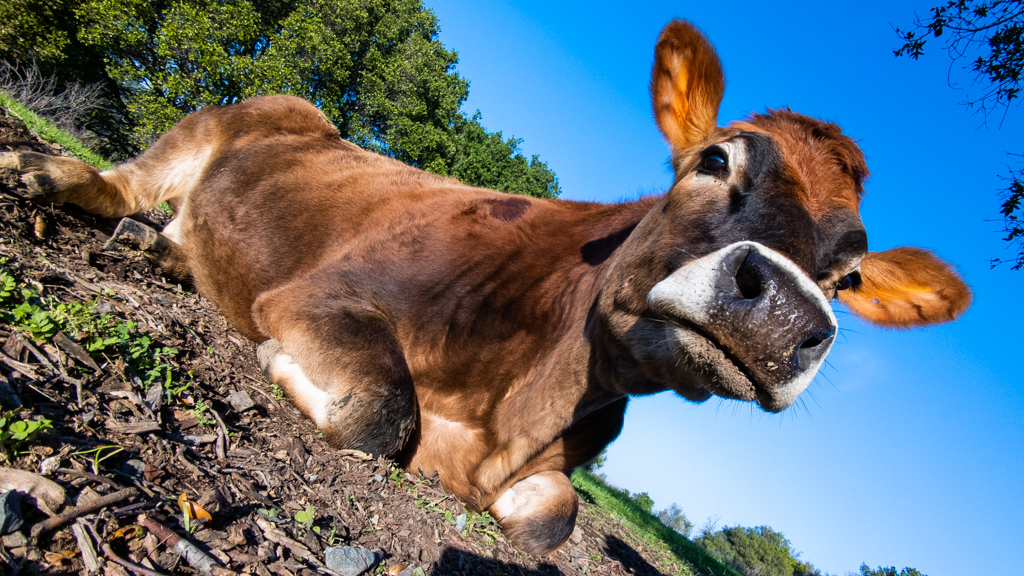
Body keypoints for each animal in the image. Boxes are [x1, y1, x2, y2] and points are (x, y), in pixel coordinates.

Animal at [0, 21, 970, 555]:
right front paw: (289, 372)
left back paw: (158, 253)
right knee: (124, 183)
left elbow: (553, 521)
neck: (522, 397)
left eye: (848, 274)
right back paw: (52, 177)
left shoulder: (548, 472)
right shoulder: (321, 299)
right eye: (714, 159)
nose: (783, 310)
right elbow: (381, 411)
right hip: (223, 119)